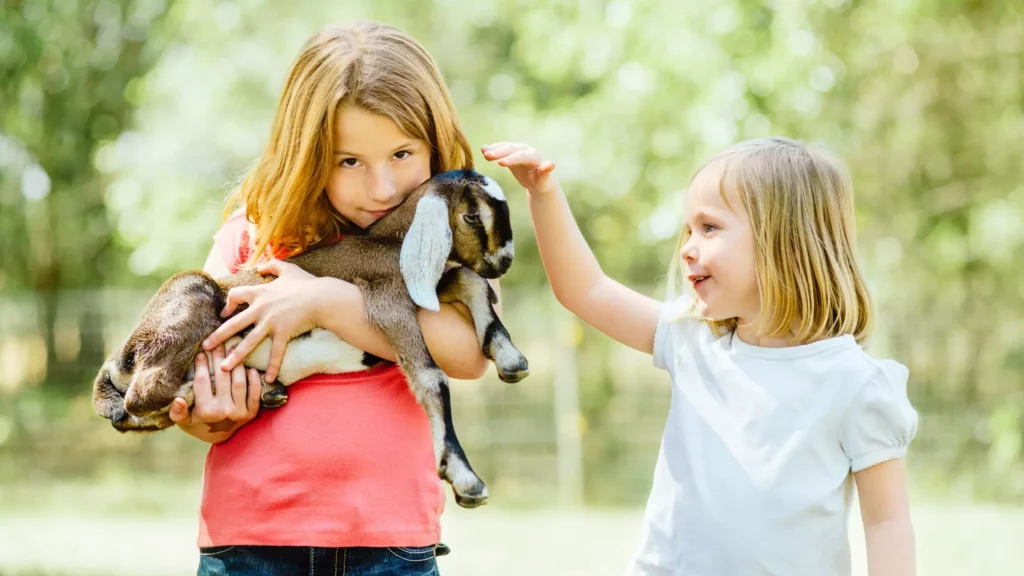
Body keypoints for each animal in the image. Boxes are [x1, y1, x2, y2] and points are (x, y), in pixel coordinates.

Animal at [90, 168, 528, 504]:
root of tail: (116, 359)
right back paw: (210, 386)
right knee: (142, 395)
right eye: (472, 216)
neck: (389, 242)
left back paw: (262, 391)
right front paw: (465, 478)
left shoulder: (432, 287)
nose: (504, 262)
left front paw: (509, 358)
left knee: (129, 416)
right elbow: (431, 377)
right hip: (188, 297)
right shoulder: (387, 301)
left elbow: (470, 281)